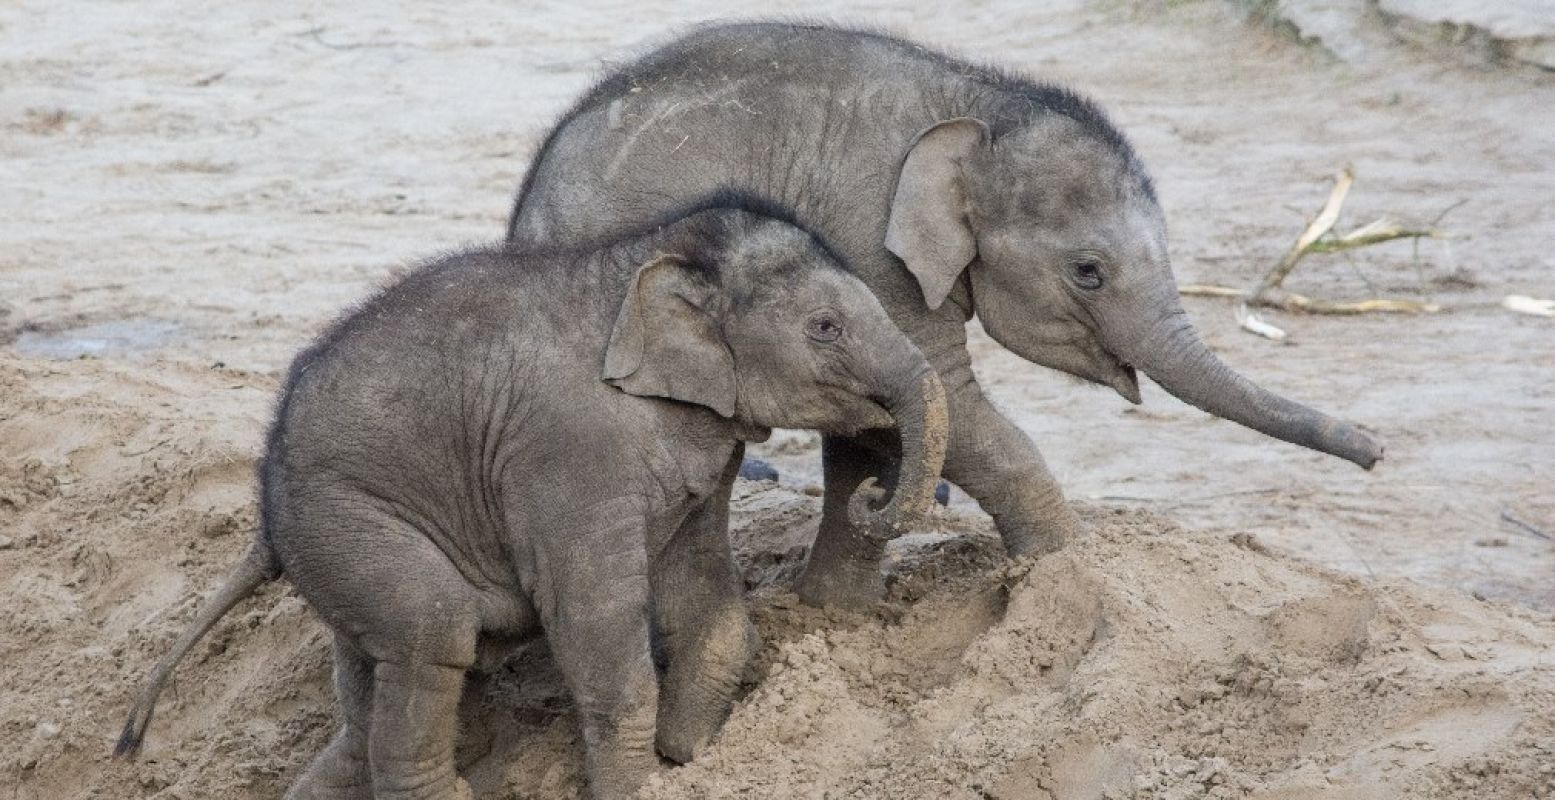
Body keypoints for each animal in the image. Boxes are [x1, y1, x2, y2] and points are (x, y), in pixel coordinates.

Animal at [115, 194, 945, 796]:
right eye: (825, 327)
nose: (875, 490)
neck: (646, 259)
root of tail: (263, 508)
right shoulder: (565, 452)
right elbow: (594, 624)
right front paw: (638, 783)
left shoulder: (699, 454)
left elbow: (705, 598)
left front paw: (684, 756)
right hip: (346, 523)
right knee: (433, 638)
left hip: (336, 554)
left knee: (373, 697)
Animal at [510, 20, 1387, 603]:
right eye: (1088, 273)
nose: (1377, 451)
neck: (975, 100)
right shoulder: (868, 242)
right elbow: (945, 401)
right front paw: (1061, 573)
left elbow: (878, 422)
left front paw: (833, 613)